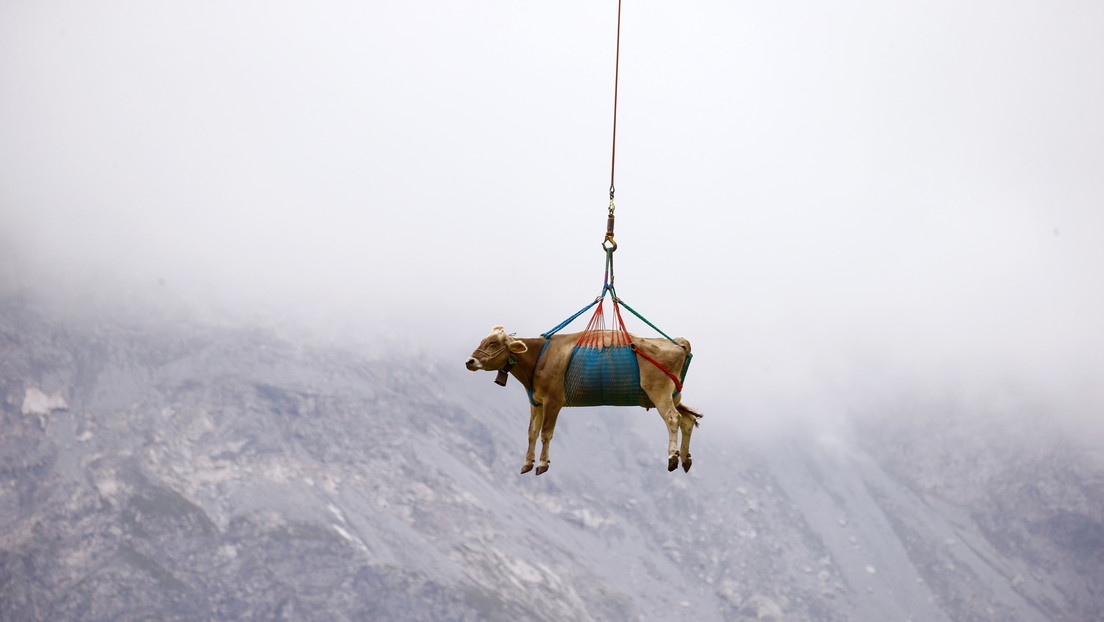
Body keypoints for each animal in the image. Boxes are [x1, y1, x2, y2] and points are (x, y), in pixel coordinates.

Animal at [465, 325, 701, 475]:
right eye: (483, 340)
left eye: (493, 342)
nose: (470, 361)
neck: (540, 357)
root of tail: (678, 343)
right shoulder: (536, 401)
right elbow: (531, 432)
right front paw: (527, 462)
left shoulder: (553, 401)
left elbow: (546, 434)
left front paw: (542, 463)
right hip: (673, 395)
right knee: (688, 419)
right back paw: (685, 458)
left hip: (659, 391)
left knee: (673, 418)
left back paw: (672, 456)